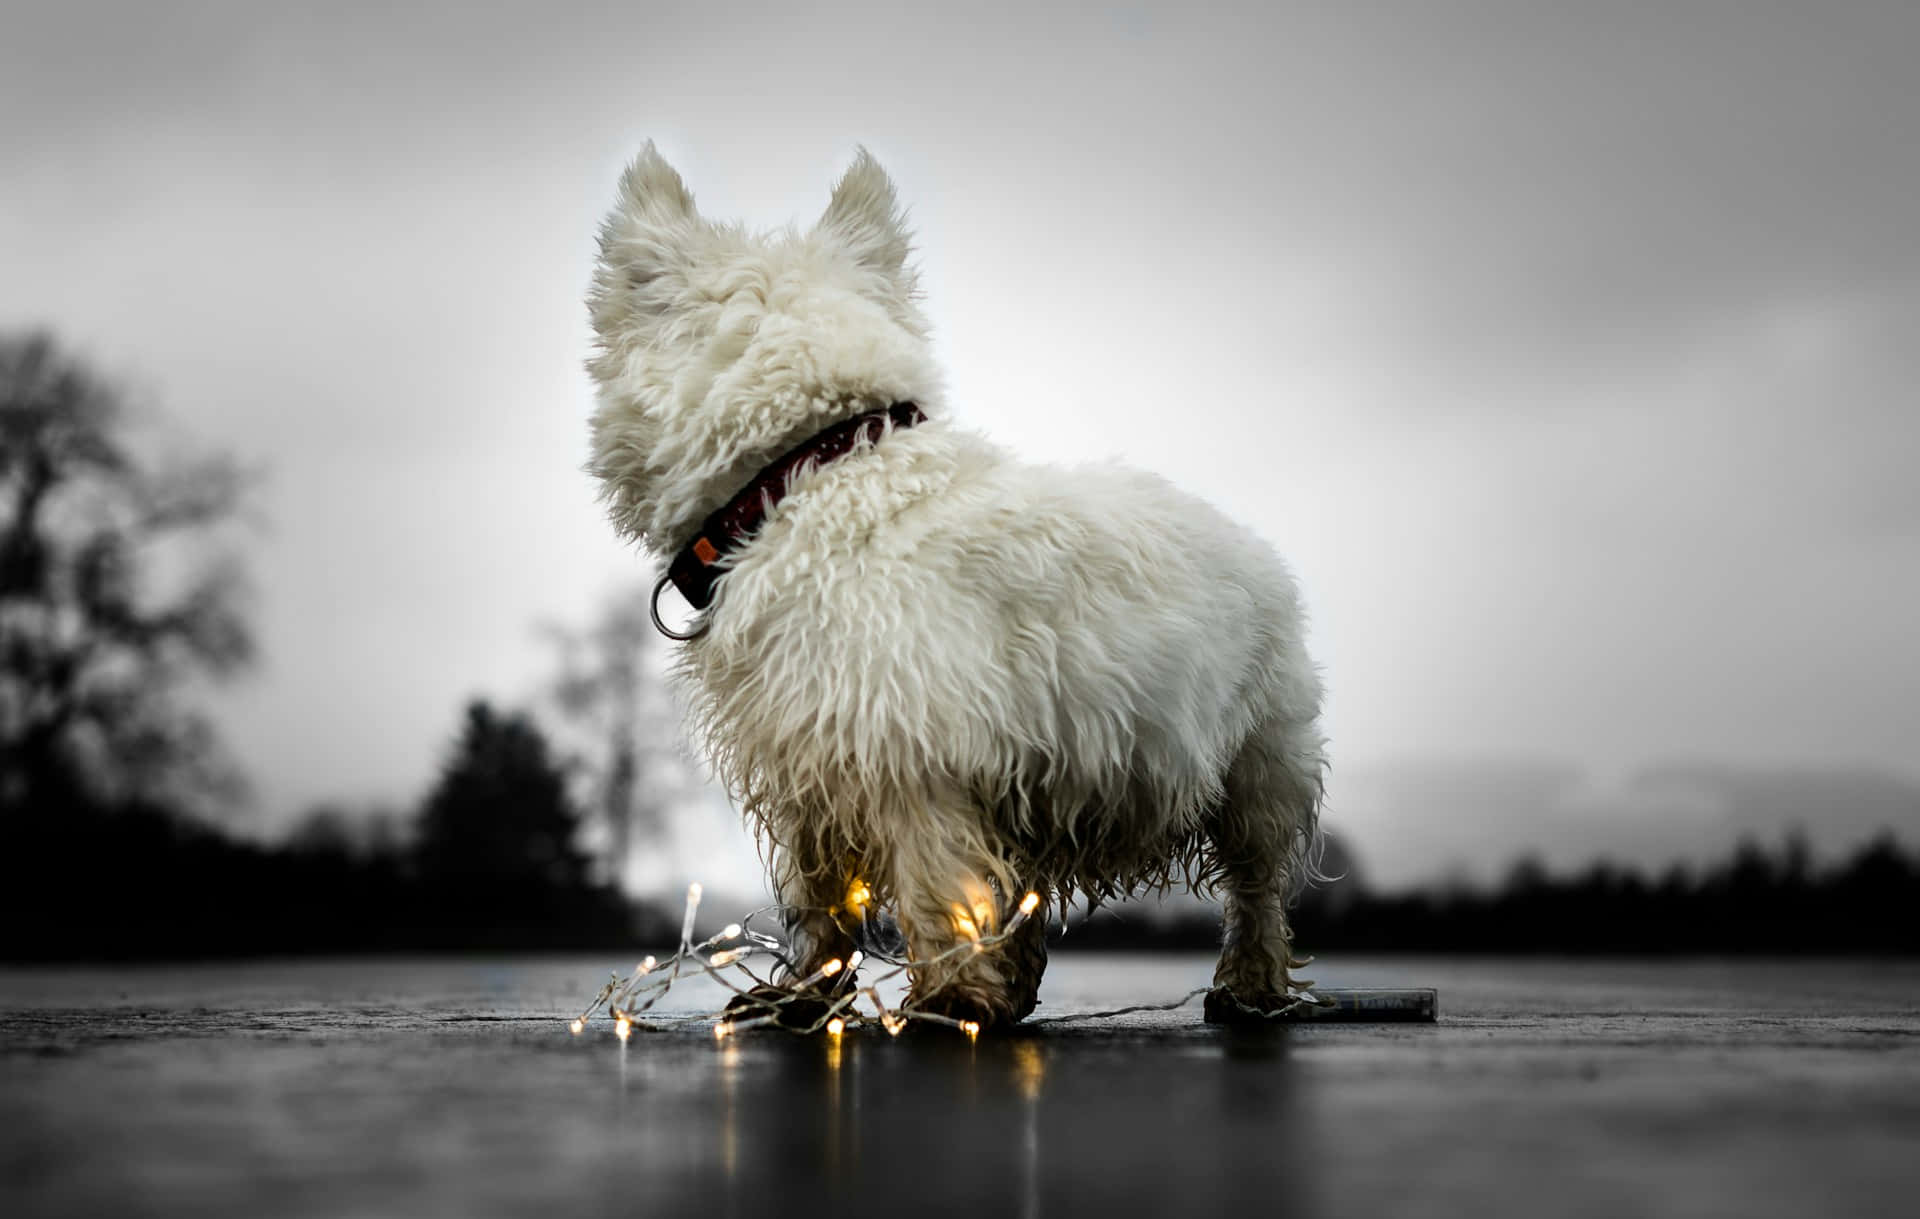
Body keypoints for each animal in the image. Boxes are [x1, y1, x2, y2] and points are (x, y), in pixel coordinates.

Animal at [583, 145, 1328, 1028]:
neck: (816, 472)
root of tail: (1254, 545)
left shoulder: (913, 753)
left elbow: (937, 880)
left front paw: (950, 1000)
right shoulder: (810, 762)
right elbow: (817, 894)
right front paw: (804, 994)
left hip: (1259, 763)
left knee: (1257, 886)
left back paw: (1249, 983)